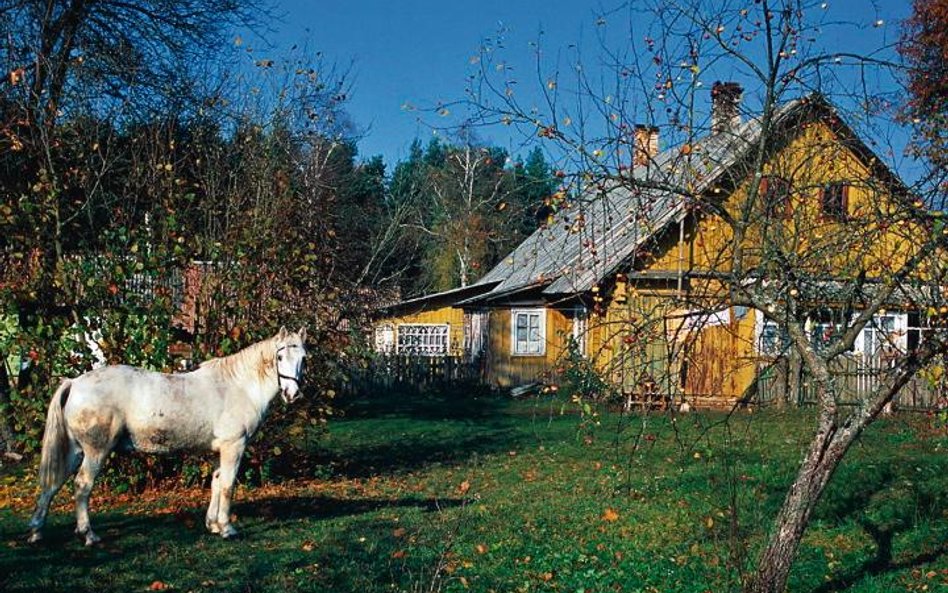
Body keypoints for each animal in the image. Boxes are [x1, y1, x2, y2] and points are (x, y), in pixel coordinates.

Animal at [27, 326, 308, 544]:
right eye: (280, 357)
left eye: (303, 358)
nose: (292, 394)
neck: (238, 386)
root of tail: (74, 382)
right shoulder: (234, 447)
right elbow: (228, 486)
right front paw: (227, 529)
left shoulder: (219, 450)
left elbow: (216, 483)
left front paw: (213, 525)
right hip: (96, 451)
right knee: (82, 485)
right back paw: (88, 534)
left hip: (75, 450)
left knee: (53, 484)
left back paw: (36, 532)